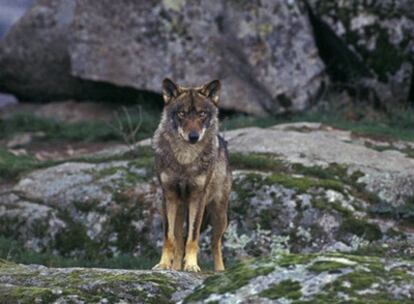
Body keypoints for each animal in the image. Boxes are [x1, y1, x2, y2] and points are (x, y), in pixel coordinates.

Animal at [152, 78, 231, 274]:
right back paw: (175, 267)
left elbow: (193, 237)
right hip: (179, 211)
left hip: (219, 216)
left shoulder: (198, 197)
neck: (185, 159)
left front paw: (192, 265)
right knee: (179, 241)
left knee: (215, 244)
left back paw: (220, 271)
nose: (193, 136)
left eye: (202, 114)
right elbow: (169, 238)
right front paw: (164, 265)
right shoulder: (169, 196)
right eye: (182, 113)